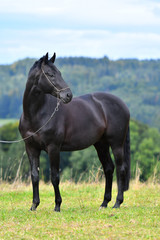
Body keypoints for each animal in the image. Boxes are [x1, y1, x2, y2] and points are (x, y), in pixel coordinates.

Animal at [19, 53, 131, 212]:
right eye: (50, 74)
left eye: (59, 73)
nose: (68, 95)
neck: (36, 114)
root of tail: (123, 105)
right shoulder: (31, 148)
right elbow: (34, 175)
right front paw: (34, 205)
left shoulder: (53, 148)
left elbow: (54, 177)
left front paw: (57, 205)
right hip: (101, 145)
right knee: (109, 168)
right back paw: (104, 203)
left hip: (116, 144)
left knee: (121, 169)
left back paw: (117, 203)